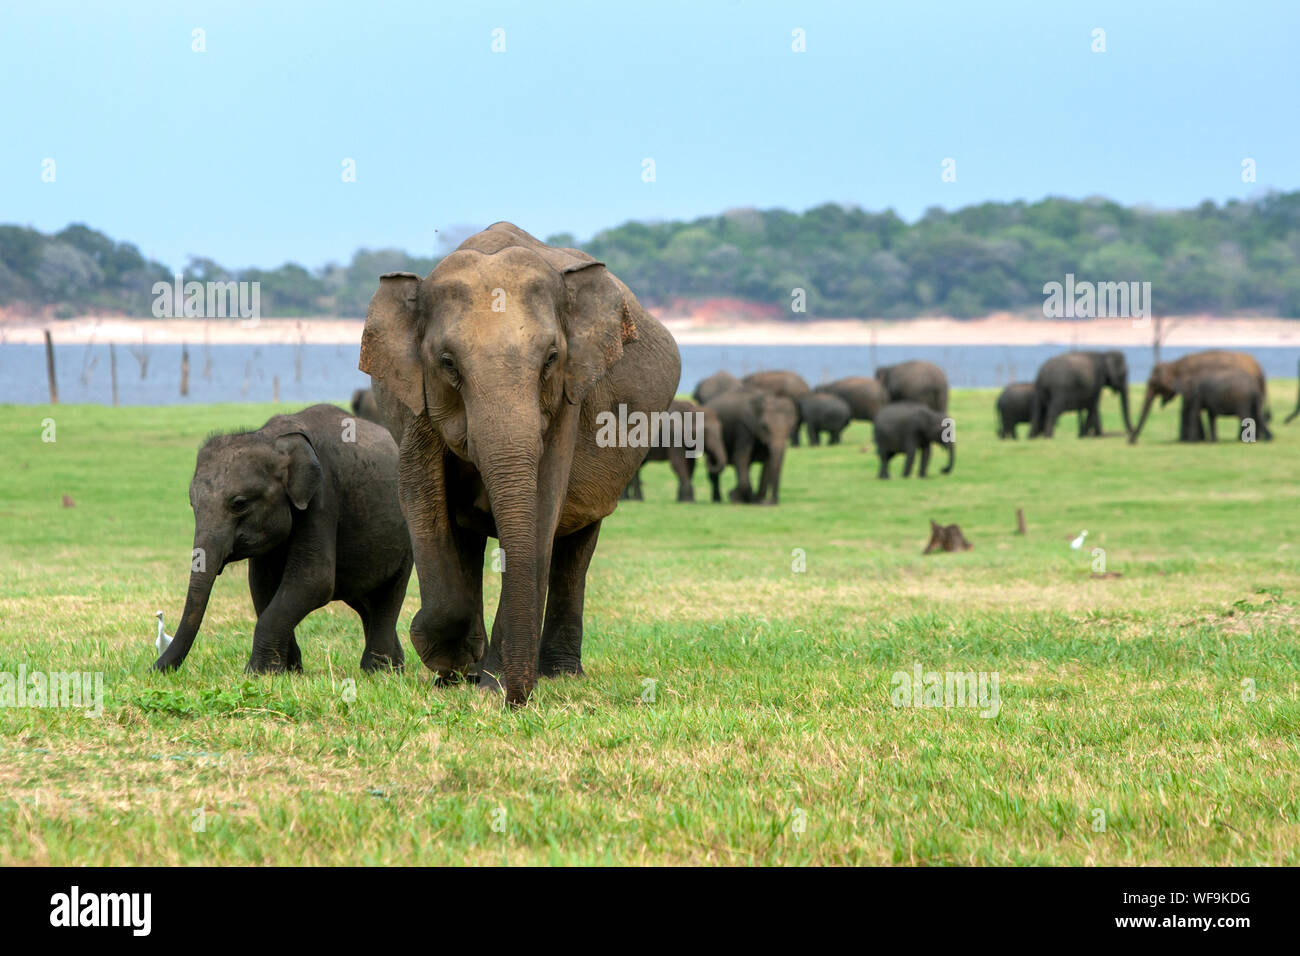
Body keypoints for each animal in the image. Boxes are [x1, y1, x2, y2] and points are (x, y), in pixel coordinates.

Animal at [154, 403, 413, 671]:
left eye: (239, 504)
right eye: (192, 505)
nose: (154, 669)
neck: (271, 439)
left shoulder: (322, 498)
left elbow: (313, 581)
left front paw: (258, 673)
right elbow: (261, 585)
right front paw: (287, 671)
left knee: (389, 595)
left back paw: (378, 670)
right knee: (362, 598)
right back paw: (394, 667)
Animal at [356, 222, 681, 702]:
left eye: (550, 359)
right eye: (447, 363)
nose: (516, 700)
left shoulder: (569, 396)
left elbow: (543, 508)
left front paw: (488, 685)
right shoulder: (415, 397)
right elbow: (419, 495)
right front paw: (450, 663)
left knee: (576, 545)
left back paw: (558, 674)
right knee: (469, 536)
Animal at [1128, 348, 1268, 442]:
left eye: (1155, 384)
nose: (1131, 442)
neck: (1175, 364)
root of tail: (1259, 368)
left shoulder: (1192, 387)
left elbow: (1188, 409)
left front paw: (1189, 440)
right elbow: (1189, 409)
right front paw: (1194, 439)